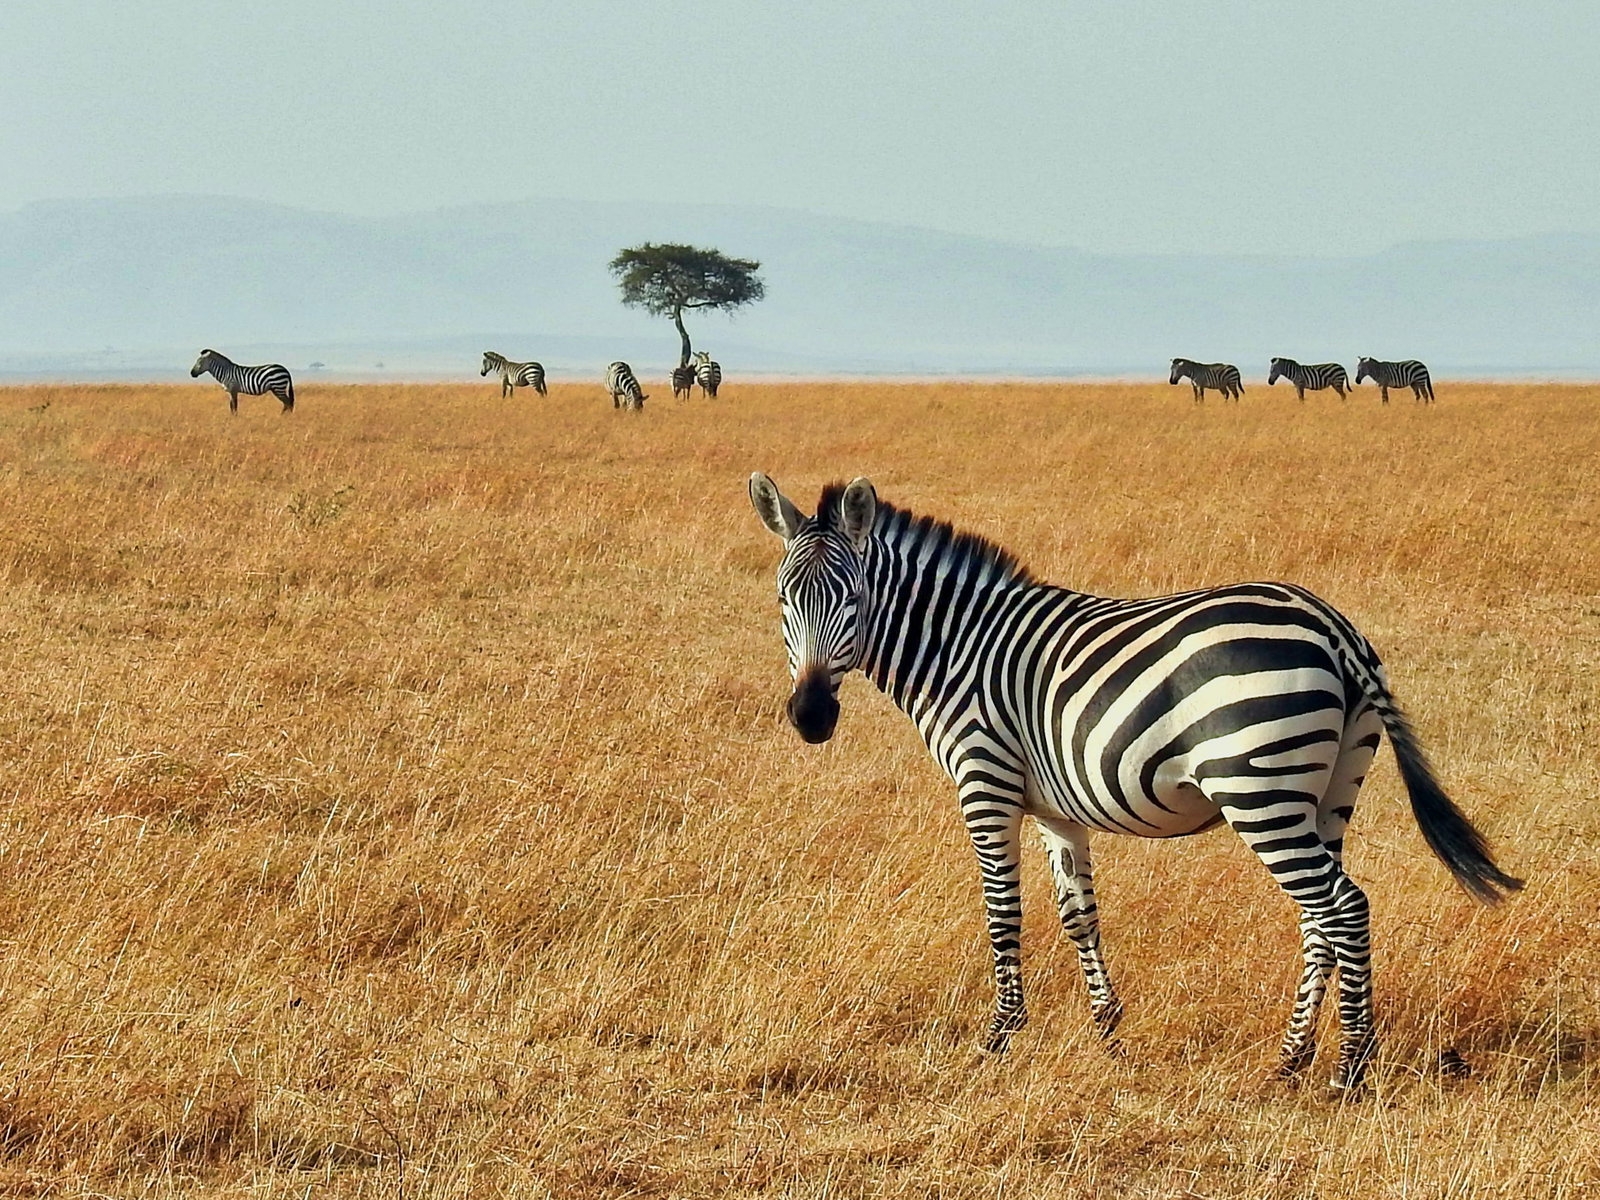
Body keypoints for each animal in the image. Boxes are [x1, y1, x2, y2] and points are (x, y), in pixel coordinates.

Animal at [748, 474, 1521, 1092]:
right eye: (784, 599)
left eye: (851, 597)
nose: (811, 717)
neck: (959, 646)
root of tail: (1332, 626)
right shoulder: (1056, 808)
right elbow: (1078, 915)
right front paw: (1108, 1032)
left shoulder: (985, 782)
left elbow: (1003, 915)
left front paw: (999, 1038)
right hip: (1329, 791)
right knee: (1321, 917)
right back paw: (1291, 1059)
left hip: (1259, 788)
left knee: (1346, 908)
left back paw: (1348, 1070)